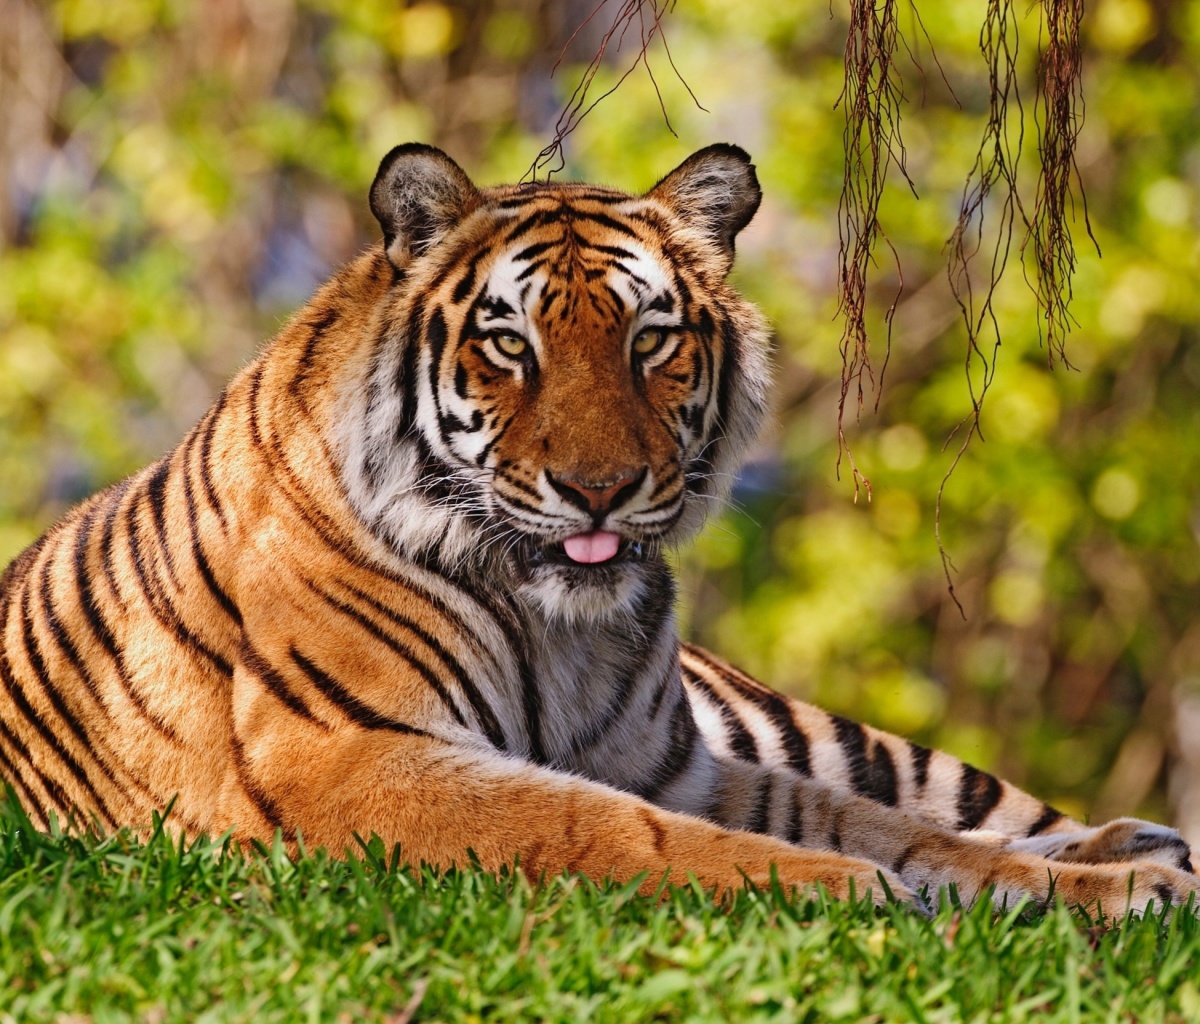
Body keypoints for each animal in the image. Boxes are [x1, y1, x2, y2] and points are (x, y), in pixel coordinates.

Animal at [0, 141, 1195, 912]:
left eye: (650, 340)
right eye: (510, 344)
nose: (600, 488)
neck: (559, 625)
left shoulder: (675, 763)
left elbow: (899, 826)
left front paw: (1111, 885)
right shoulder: (350, 755)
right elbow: (605, 826)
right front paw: (847, 888)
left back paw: (1140, 841)